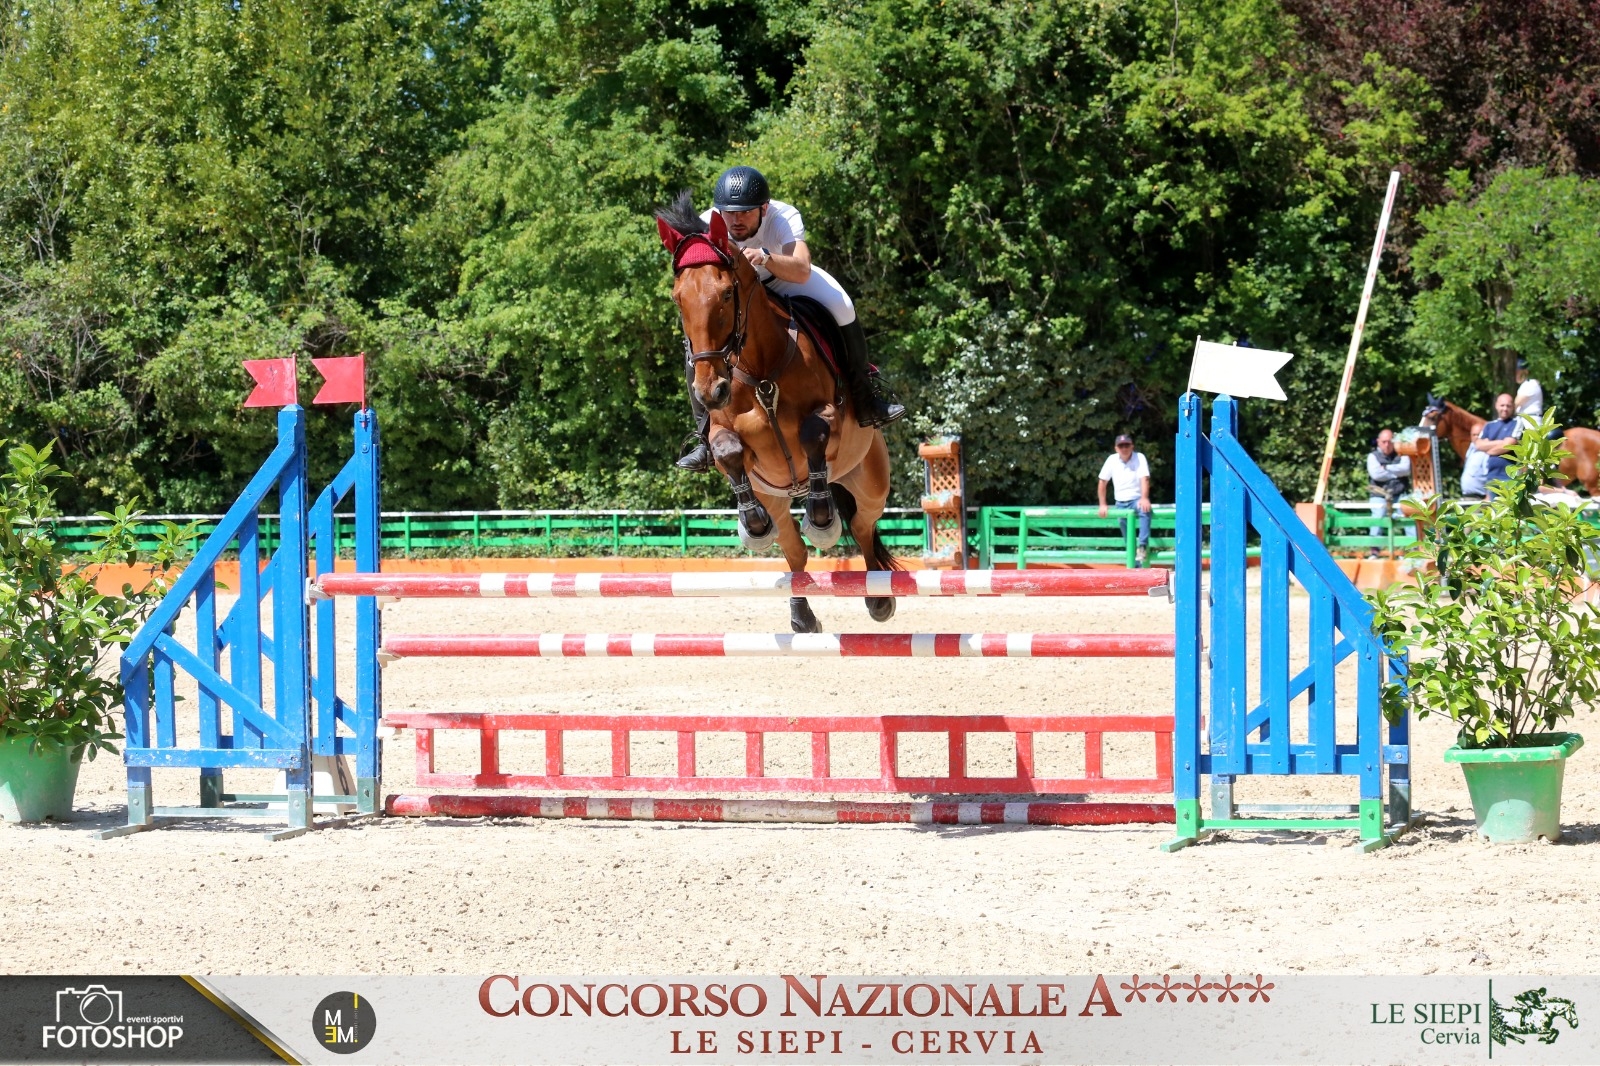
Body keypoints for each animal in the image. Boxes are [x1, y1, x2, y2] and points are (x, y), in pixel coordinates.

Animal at [655, 194, 900, 633]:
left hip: (870, 479)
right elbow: (728, 450)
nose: (710, 391)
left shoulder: (829, 417)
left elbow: (813, 430)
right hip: (776, 497)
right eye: (677, 298)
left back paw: (877, 597)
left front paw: (821, 516)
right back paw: (802, 616)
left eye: (726, 294)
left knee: (861, 525)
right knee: (794, 550)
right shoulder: (724, 433)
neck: (760, 370)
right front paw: (752, 524)